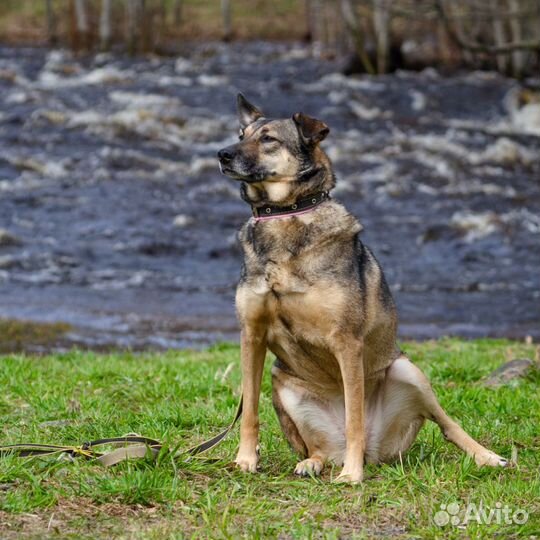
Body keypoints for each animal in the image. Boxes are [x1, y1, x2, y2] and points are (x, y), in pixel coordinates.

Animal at [215, 95, 506, 484]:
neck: (284, 214)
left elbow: (355, 416)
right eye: (241, 135)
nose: (222, 154)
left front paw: (352, 476)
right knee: (317, 447)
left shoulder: (346, 341)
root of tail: (375, 453)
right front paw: (245, 460)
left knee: (446, 424)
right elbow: (249, 410)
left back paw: (485, 457)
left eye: (268, 139)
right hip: (283, 383)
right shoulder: (252, 334)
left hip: (407, 370)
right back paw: (312, 463)